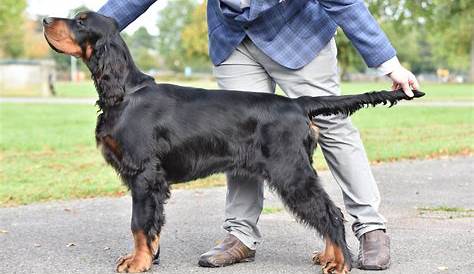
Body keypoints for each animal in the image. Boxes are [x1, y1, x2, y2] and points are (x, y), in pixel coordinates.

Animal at [43, 11, 422, 274]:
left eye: (80, 21)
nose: (45, 19)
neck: (125, 92)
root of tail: (297, 104)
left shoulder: (144, 174)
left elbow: (139, 223)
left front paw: (136, 263)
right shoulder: (151, 181)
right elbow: (152, 225)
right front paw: (149, 257)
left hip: (289, 171)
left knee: (329, 212)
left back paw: (341, 262)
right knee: (325, 211)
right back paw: (328, 256)